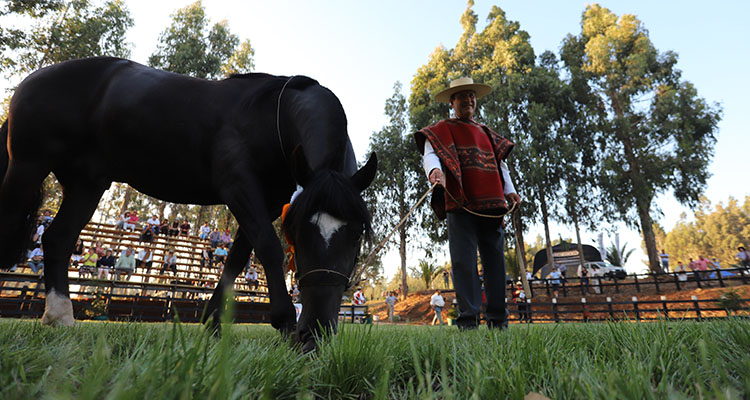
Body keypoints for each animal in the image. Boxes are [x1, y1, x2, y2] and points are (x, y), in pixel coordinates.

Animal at [0, 56, 376, 350]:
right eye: (296, 230)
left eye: (357, 232)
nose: (315, 332)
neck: (272, 116)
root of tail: (32, 80)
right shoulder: (238, 185)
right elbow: (268, 248)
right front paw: (283, 321)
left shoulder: (265, 201)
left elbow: (236, 260)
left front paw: (212, 324)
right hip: (28, 166)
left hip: (86, 184)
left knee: (58, 239)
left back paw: (60, 316)